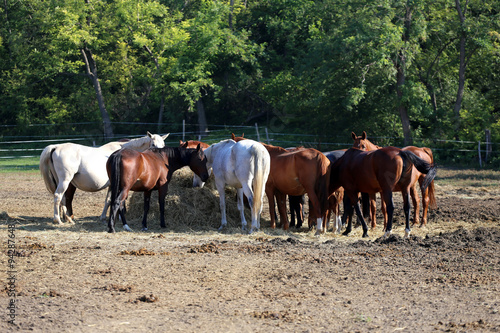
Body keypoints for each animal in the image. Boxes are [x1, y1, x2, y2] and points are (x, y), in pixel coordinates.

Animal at [39, 132, 168, 223]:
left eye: (163, 145)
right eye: (153, 144)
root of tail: (56, 147)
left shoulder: (112, 184)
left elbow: (108, 200)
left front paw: (103, 217)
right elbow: (114, 199)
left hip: (61, 182)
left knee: (63, 199)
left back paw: (68, 219)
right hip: (65, 181)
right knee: (58, 196)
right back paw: (58, 220)